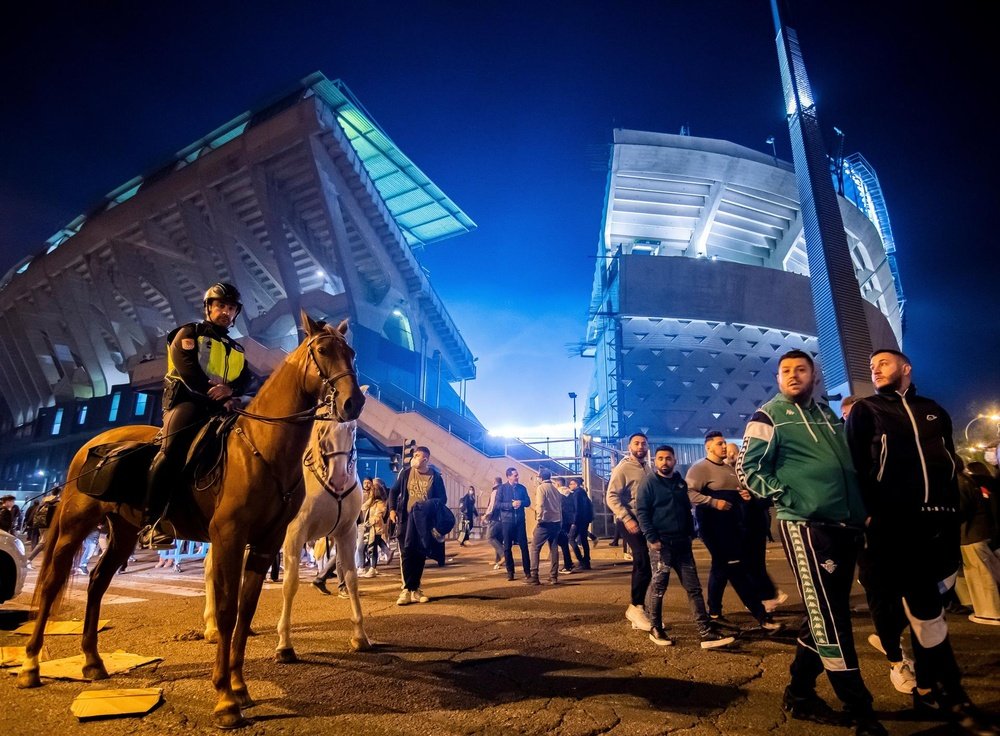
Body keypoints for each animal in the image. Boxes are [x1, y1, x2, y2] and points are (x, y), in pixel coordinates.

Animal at [15, 312, 366, 732]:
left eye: (351, 352)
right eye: (323, 350)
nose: (354, 401)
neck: (263, 447)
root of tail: (91, 445)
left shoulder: (266, 543)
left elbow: (246, 609)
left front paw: (239, 685)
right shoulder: (231, 536)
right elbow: (229, 611)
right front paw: (225, 697)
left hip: (123, 533)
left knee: (98, 582)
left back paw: (92, 661)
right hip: (74, 526)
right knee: (52, 583)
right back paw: (31, 665)